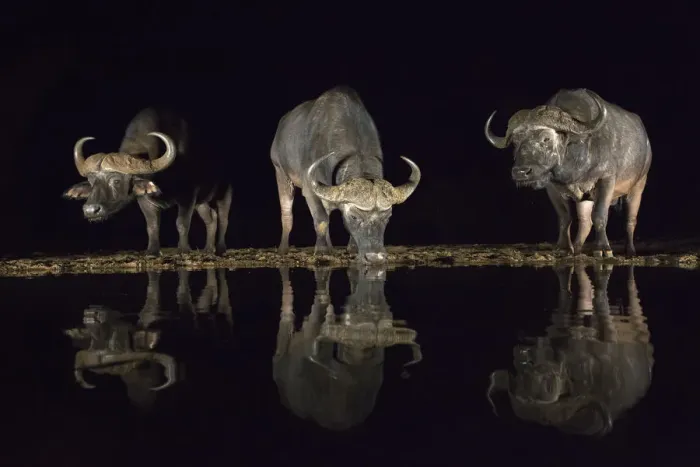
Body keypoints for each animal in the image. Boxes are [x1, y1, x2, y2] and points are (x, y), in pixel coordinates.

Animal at [485, 89, 652, 257]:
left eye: (546, 138)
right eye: (515, 142)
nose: (520, 172)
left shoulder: (606, 180)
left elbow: (599, 215)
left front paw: (603, 248)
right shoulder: (552, 188)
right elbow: (565, 217)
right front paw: (564, 247)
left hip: (638, 185)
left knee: (630, 220)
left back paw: (630, 251)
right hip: (586, 199)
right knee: (585, 222)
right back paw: (577, 248)